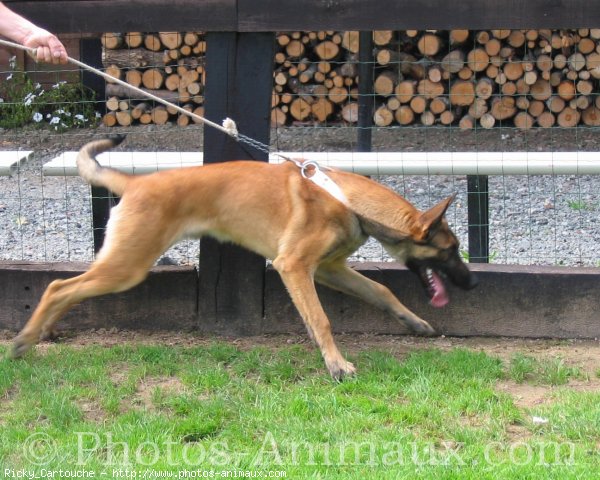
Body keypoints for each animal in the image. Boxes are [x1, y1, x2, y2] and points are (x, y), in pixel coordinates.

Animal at [10, 135, 478, 378]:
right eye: (451, 250)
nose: (474, 283)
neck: (347, 199)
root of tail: (137, 183)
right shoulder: (294, 267)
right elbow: (322, 319)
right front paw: (336, 364)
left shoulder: (328, 270)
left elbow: (381, 290)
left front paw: (414, 322)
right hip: (127, 266)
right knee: (57, 285)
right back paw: (23, 341)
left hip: (121, 265)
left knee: (67, 289)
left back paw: (43, 332)